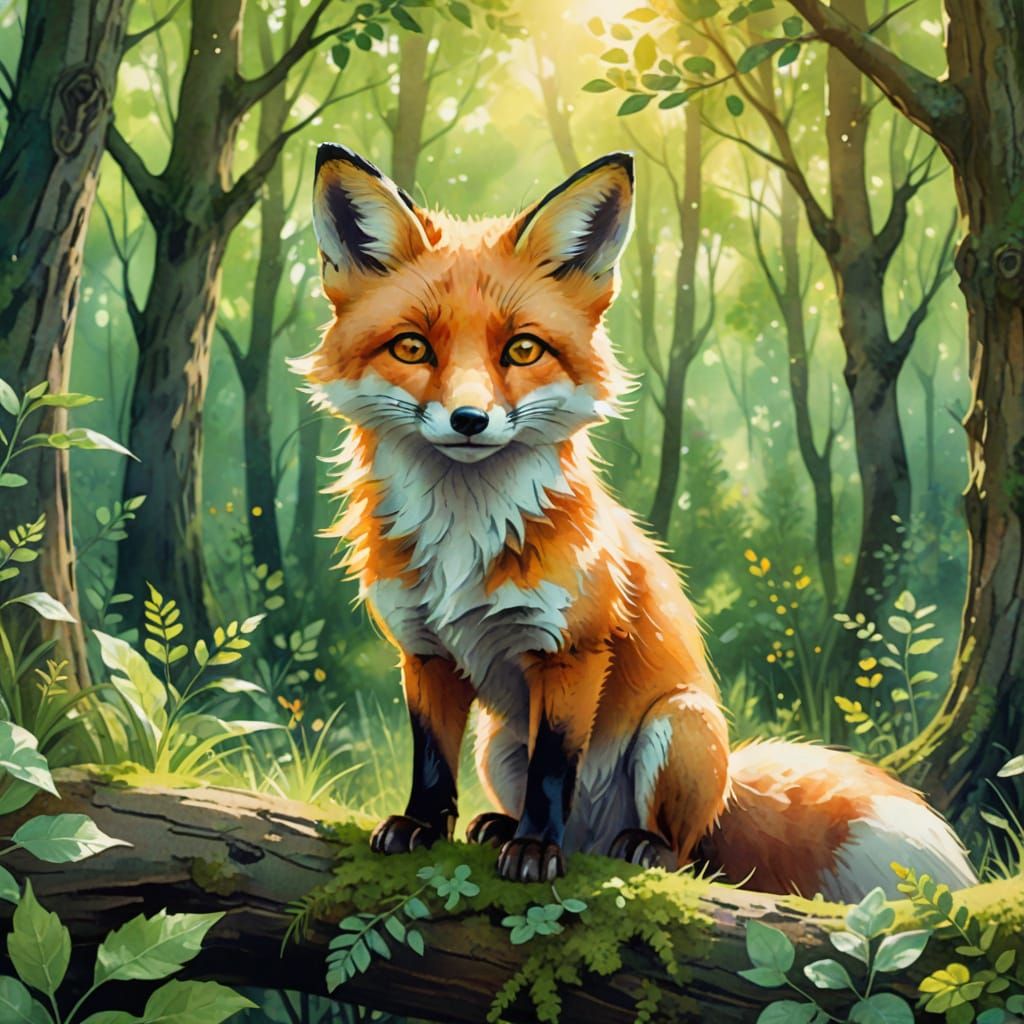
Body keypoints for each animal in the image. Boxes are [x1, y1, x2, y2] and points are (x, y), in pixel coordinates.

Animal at [295, 142, 977, 899]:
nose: (469, 420)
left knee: (684, 853)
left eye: (523, 350)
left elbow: (554, 768)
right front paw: (422, 826)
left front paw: (536, 850)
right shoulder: (424, 651)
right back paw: (505, 827)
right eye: (412, 348)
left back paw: (630, 846)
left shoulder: (572, 649)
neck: (462, 538)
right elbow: (431, 759)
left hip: (676, 726)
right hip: (497, 744)